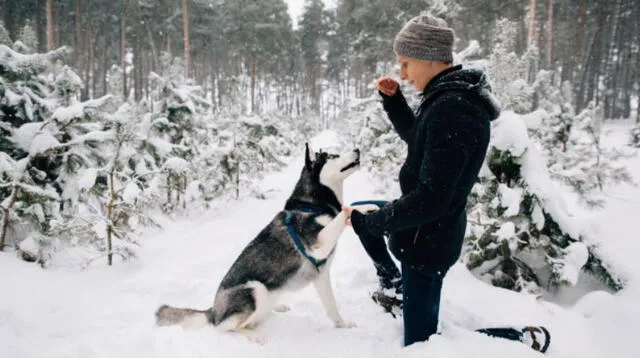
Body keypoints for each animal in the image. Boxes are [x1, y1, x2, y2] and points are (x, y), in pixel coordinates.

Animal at [157, 143, 378, 344]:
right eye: (333, 155)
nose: (357, 149)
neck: (312, 205)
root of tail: (213, 311)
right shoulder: (319, 243)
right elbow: (344, 213)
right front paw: (362, 207)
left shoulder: (321, 275)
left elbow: (331, 306)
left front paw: (342, 324)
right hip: (255, 289)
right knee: (225, 328)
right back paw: (253, 335)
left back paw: (276, 307)